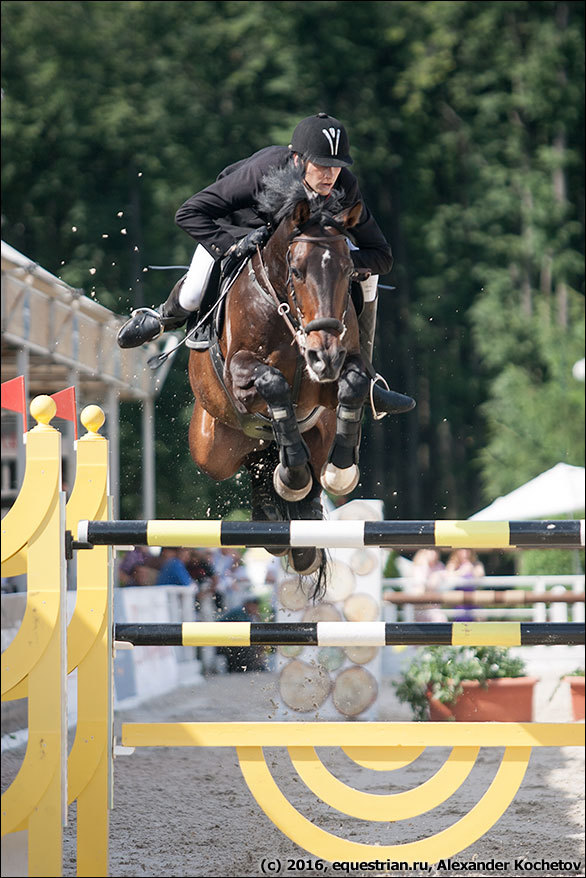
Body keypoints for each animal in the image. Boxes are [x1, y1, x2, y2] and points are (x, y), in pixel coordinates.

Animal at [186, 163, 410, 592]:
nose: (324, 354)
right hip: (211, 449)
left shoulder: (334, 380)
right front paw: (291, 474)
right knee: (255, 460)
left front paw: (341, 470)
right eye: (295, 270)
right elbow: (272, 383)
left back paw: (301, 518)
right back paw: (281, 501)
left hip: (316, 428)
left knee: (292, 467)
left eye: (348, 270)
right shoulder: (242, 377)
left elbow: (355, 385)